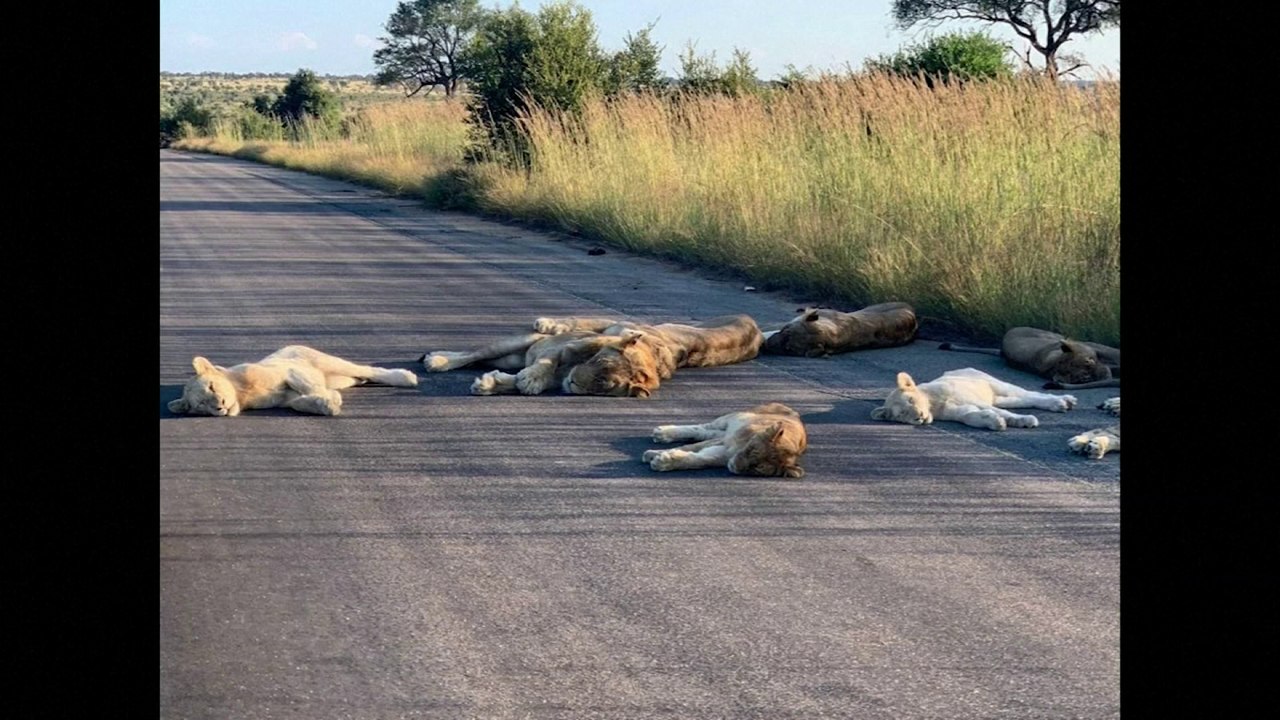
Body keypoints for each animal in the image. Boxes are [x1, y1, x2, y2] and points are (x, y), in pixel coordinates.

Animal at [167, 345, 419, 417]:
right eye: (201, 405)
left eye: (211, 387)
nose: (219, 406)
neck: (242, 394)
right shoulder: (285, 400)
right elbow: (299, 403)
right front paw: (327, 404)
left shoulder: (288, 370)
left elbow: (306, 385)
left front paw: (329, 399)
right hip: (342, 379)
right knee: (358, 377)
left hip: (326, 361)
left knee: (369, 369)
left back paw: (406, 377)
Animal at [642, 402, 808, 478]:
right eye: (752, 451)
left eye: (757, 469)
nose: (735, 467)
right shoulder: (726, 443)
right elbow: (690, 448)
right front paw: (653, 454)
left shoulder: (723, 453)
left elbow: (699, 460)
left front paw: (663, 460)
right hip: (730, 419)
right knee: (701, 428)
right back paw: (663, 433)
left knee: (705, 432)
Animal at [870, 367, 1077, 431]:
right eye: (902, 415)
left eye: (911, 400)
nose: (919, 417)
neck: (933, 405)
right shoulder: (959, 412)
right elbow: (971, 416)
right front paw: (995, 422)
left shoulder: (970, 399)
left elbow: (1002, 412)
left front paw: (1024, 420)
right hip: (1000, 397)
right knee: (1025, 400)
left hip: (996, 384)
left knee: (1032, 394)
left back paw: (1062, 401)